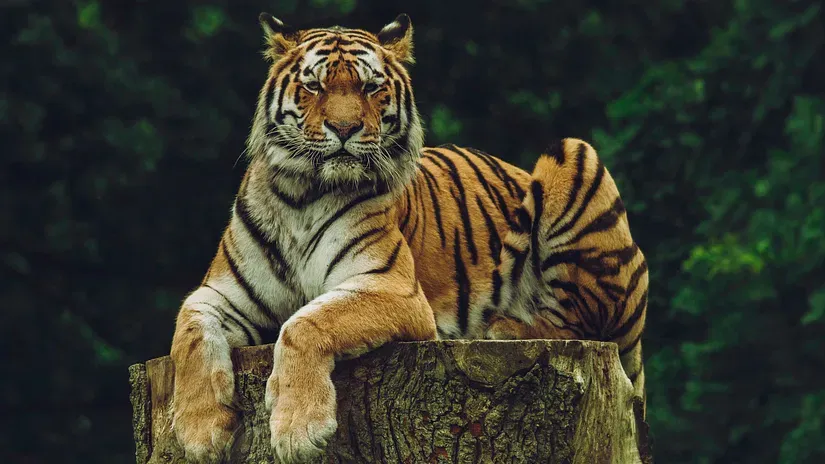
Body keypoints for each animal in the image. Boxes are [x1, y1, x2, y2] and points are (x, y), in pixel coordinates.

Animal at [168, 12, 648, 464]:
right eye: (314, 86)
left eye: (370, 88)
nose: (344, 129)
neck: (301, 196)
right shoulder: (221, 293)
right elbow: (188, 335)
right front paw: (199, 432)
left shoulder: (392, 287)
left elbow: (304, 322)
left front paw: (298, 430)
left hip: (574, 155)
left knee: (581, 321)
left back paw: (500, 327)